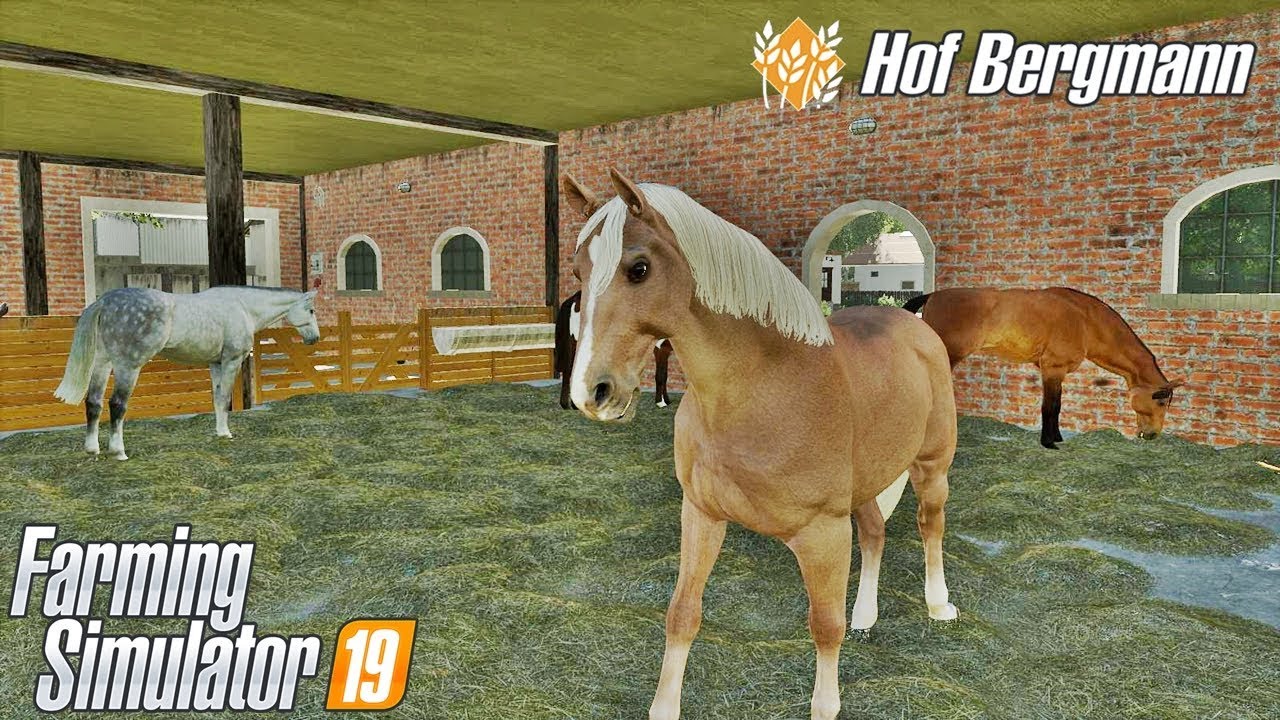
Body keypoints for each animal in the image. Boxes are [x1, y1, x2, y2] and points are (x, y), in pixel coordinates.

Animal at [54, 285, 320, 460]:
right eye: (311, 310)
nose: (315, 338)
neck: (243, 307)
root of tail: (106, 301)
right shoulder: (231, 361)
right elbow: (225, 398)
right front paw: (226, 433)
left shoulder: (215, 363)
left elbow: (217, 399)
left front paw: (219, 432)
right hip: (127, 367)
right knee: (116, 404)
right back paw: (118, 451)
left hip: (102, 364)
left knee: (94, 402)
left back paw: (92, 448)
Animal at [561, 170, 958, 720]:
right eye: (578, 271)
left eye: (638, 268)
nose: (591, 392)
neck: (761, 388)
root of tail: (913, 324)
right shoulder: (701, 514)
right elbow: (682, 613)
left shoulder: (823, 533)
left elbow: (824, 626)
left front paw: (826, 703)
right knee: (876, 533)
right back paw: (866, 615)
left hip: (931, 466)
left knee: (929, 526)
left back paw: (939, 606)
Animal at [903, 287, 1183, 449]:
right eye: (1160, 401)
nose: (1152, 435)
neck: (1086, 321)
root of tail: (933, 296)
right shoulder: (1052, 368)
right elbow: (1051, 407)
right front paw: (1049, 442)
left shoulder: (1056, 373)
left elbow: (1057, 405)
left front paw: (1057, 437)